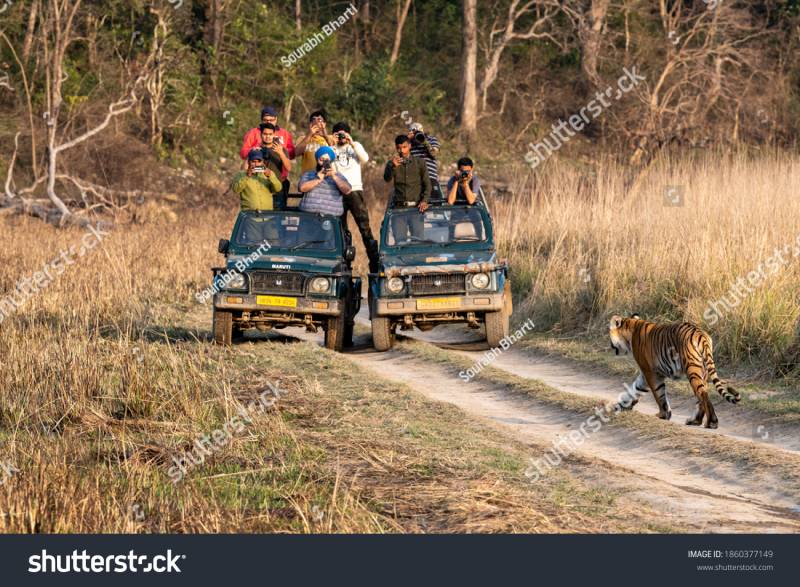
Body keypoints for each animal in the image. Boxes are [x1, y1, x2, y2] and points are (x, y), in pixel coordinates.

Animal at [608, 314, 740, 429]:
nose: (610, 345)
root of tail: (701, 334)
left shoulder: (650, 372)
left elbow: (658, 394)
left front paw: (663, 415)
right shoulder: (647, 373)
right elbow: (635, 389)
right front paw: (622, 405)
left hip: (693, 370)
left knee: (703, 394)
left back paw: (711, 422)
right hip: (703, 372)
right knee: (702, 396)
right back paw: (695, 421)